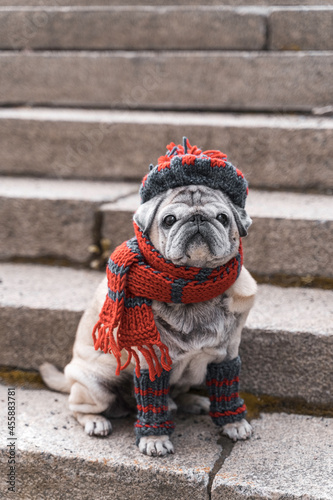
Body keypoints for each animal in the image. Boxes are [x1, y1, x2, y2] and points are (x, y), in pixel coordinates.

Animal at [40, 183, 255, 458]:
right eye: (169, 220)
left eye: (222, 218)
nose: (197, 218)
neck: (194, 292)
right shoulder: (151, 363)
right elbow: (151, 404)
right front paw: (155, 439)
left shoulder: (226, 356)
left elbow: (227, 392)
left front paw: (233, 423)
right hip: (96, 387)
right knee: (78, 408)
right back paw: (96, 422)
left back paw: (191, 402)